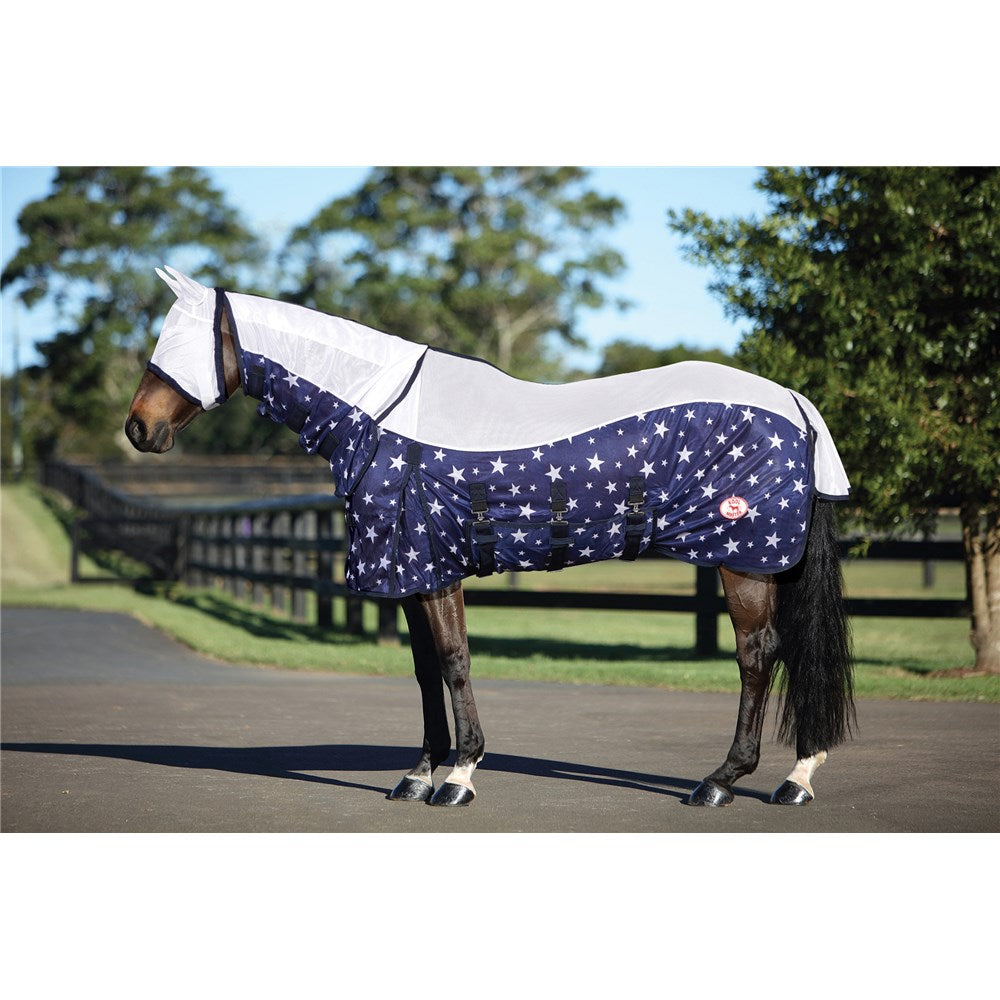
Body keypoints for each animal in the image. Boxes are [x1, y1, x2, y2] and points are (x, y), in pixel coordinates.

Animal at [126, 266, 855, 809]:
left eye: (174, 346)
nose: (138, 429)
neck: (381, 414)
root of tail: (794, 403)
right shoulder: (412, 573)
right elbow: (424, 670)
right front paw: (418, 773)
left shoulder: (434, 571)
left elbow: (454, 661)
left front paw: (459, 776)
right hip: (769, 562)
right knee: (791, 651)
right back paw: (797, 777)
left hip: (745, 561)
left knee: (758, 655)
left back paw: (722, 782)